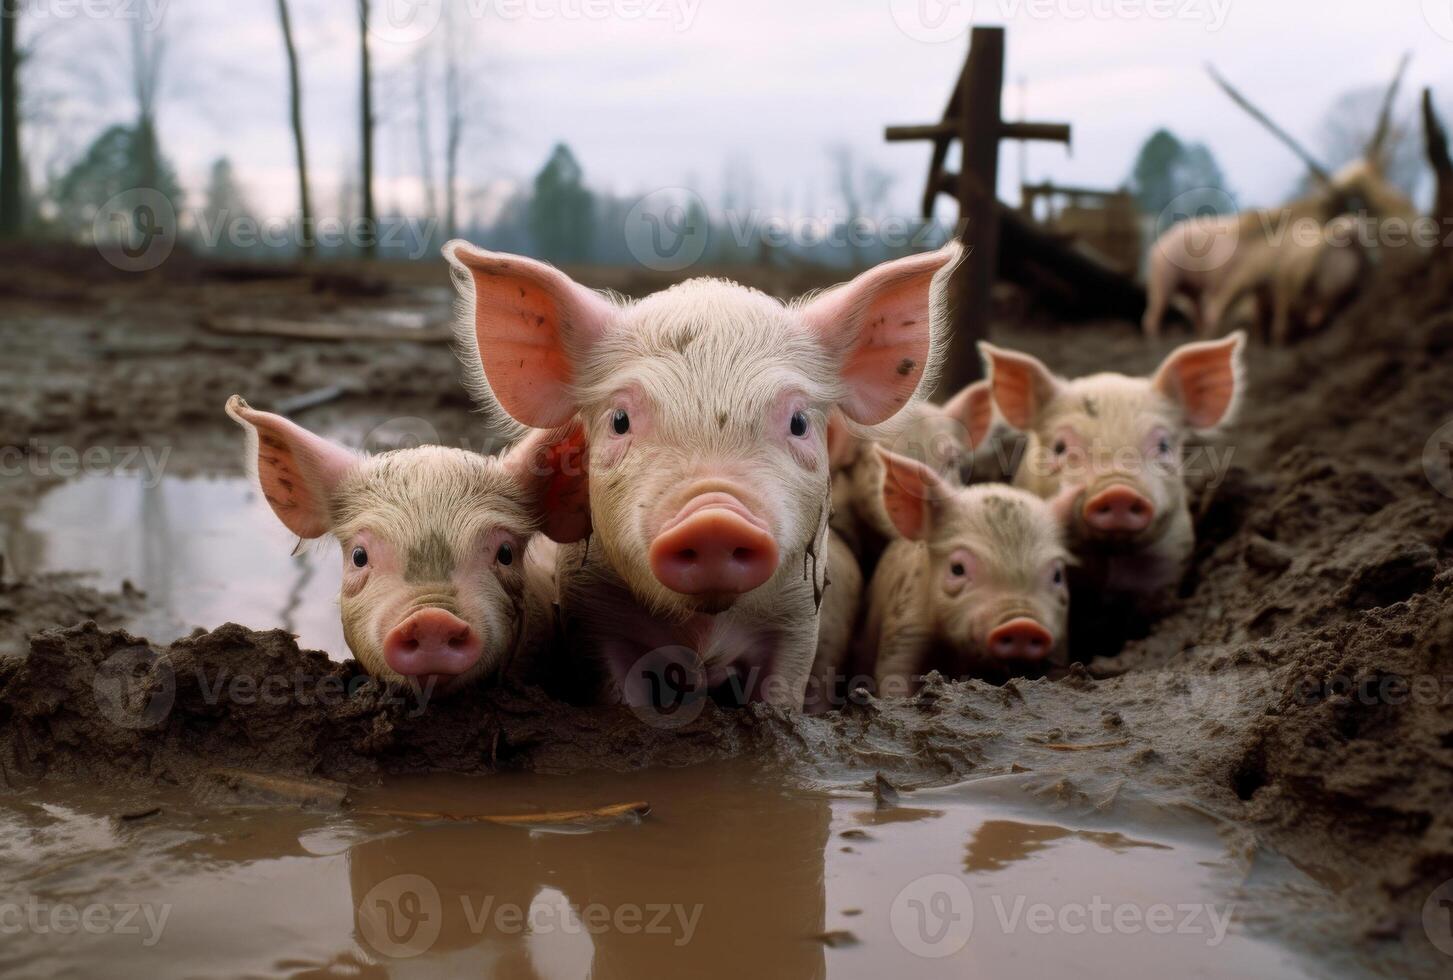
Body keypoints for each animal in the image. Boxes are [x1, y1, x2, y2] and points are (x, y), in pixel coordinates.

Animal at [441, 239, 964, 706]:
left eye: (798, 423)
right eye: (619, 420)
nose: (714, 518)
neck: (704, 634)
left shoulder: (797, 619)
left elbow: (781, 693)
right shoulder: (592, 613)